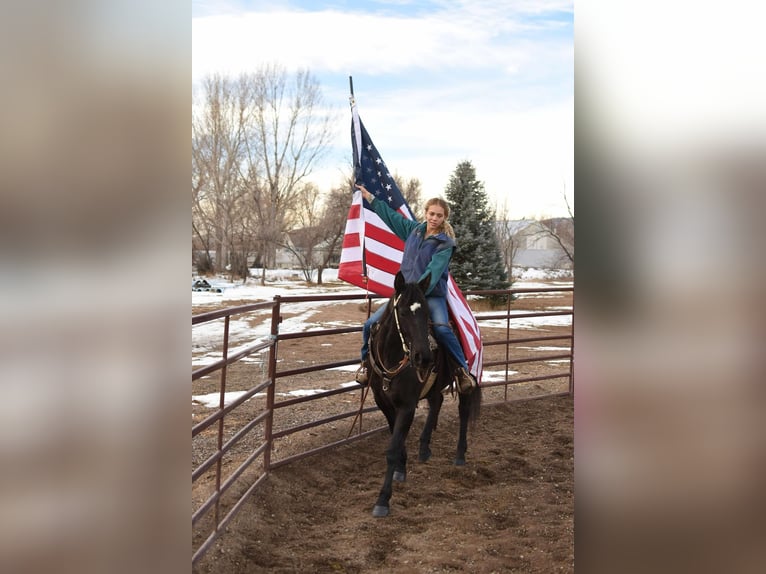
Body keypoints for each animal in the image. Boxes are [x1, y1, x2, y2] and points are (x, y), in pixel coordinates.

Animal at [364, 272, 484, 520]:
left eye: (427, 312)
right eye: (402, 312)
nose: (424, 357)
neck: (392, 356)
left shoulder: (407, 406)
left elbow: (392, 448)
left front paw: (383, 500)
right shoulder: (384, 404)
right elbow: (396, 440)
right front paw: (401, 469)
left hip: (467, 379)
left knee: (464, 412)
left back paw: (460, 455)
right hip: (434, 385)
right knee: (436, 402)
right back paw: (424, 448)